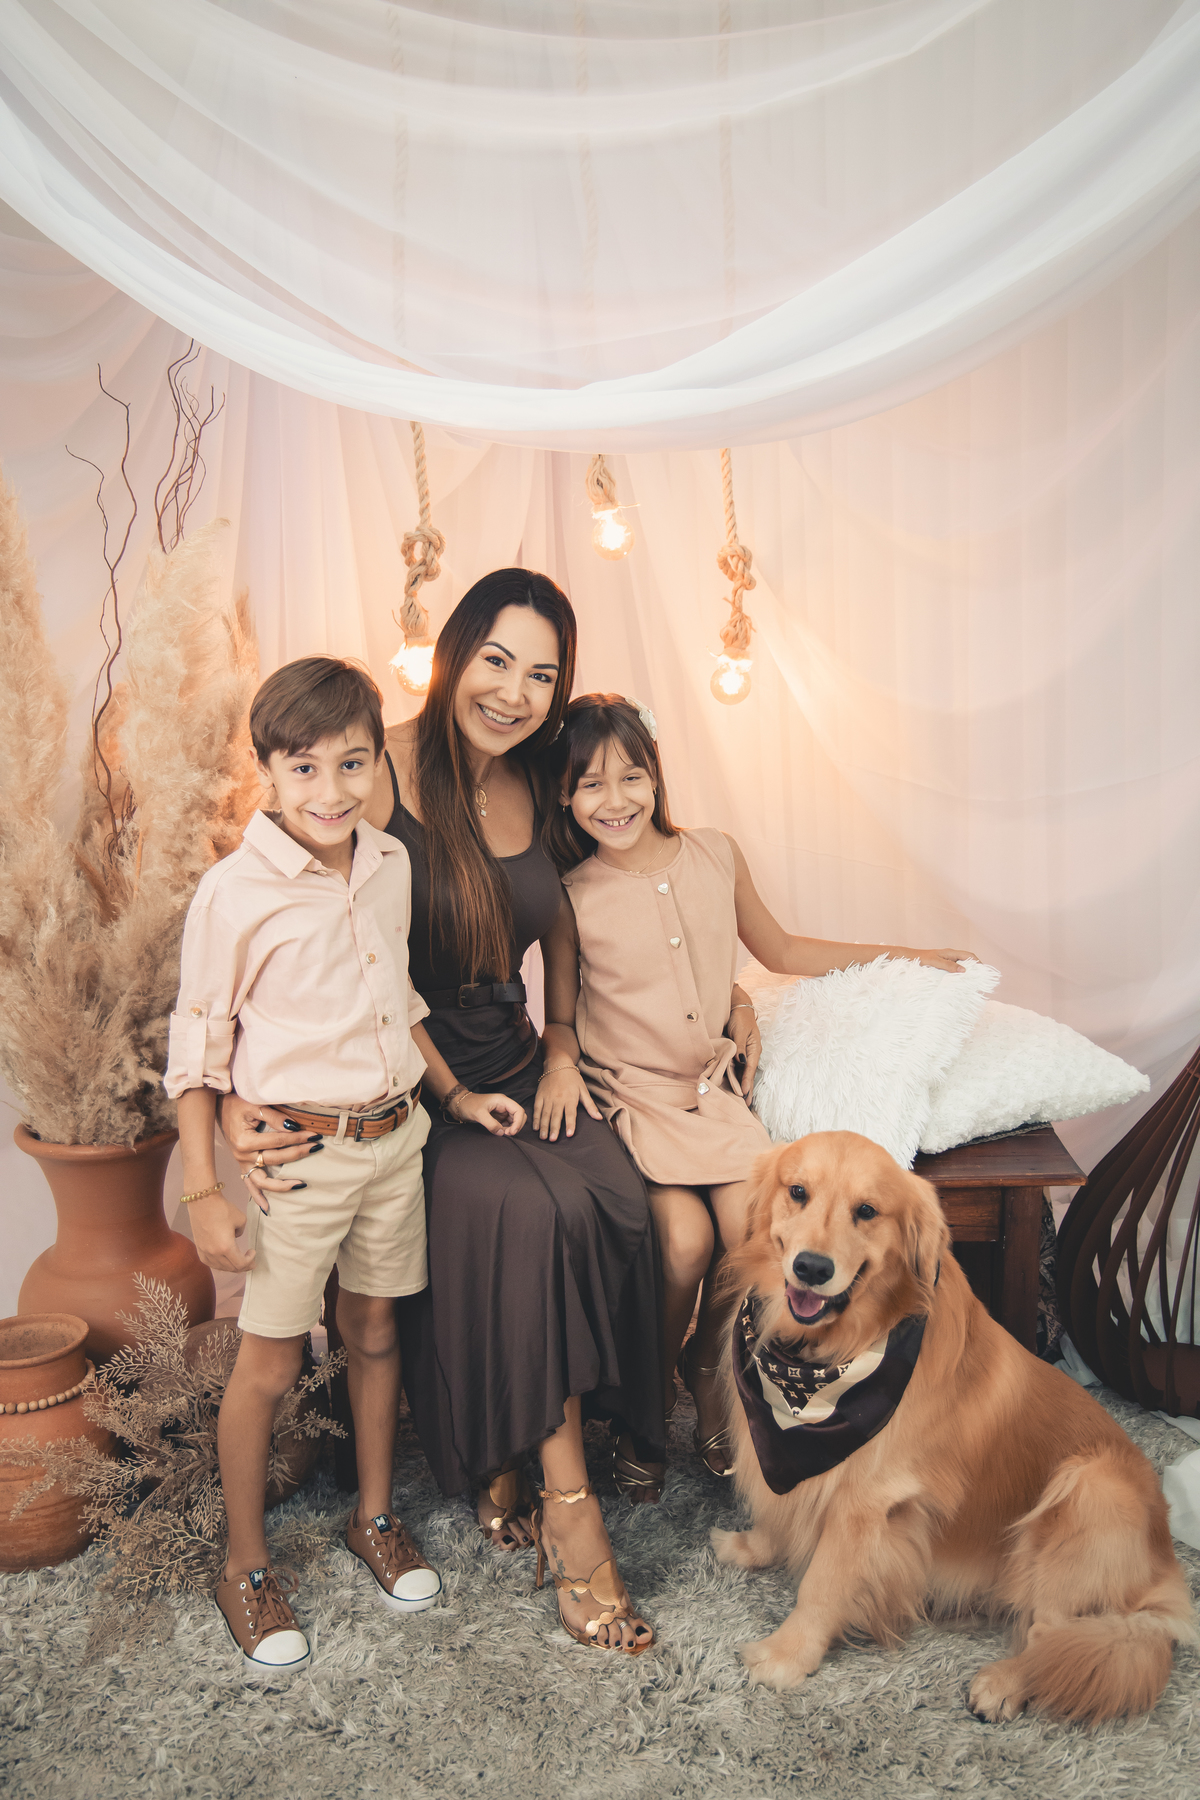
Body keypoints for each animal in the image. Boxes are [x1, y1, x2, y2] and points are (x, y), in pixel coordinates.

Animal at [711, 1131, 1195, 1723]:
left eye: (867, 1211)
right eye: (797, 1191)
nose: (811, 1268)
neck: (834, 1353)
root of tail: (1165, 1575)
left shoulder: (866, 1502)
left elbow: (823, 1584)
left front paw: (787, 1656)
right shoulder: (784, 1459)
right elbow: (777, 1515)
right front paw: (749, 1547)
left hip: (1089, 1493)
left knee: (1051, 1636)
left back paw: (1003, 1684)